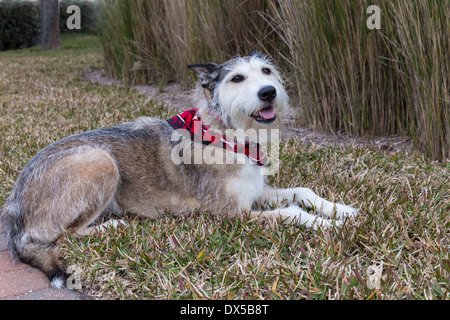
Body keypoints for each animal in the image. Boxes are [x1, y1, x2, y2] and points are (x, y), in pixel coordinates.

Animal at [0, 51, 358, 288]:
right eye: (237, 78)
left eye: (267, 71)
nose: (268, 92)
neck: (228, 136)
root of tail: (13, 208)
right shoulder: (232, 214)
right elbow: (292, 212)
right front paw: (326, 224)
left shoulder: (255, 194)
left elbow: (301, 191)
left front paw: (341, 210)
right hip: (99, 161)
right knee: (63, 233)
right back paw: (111, 225)